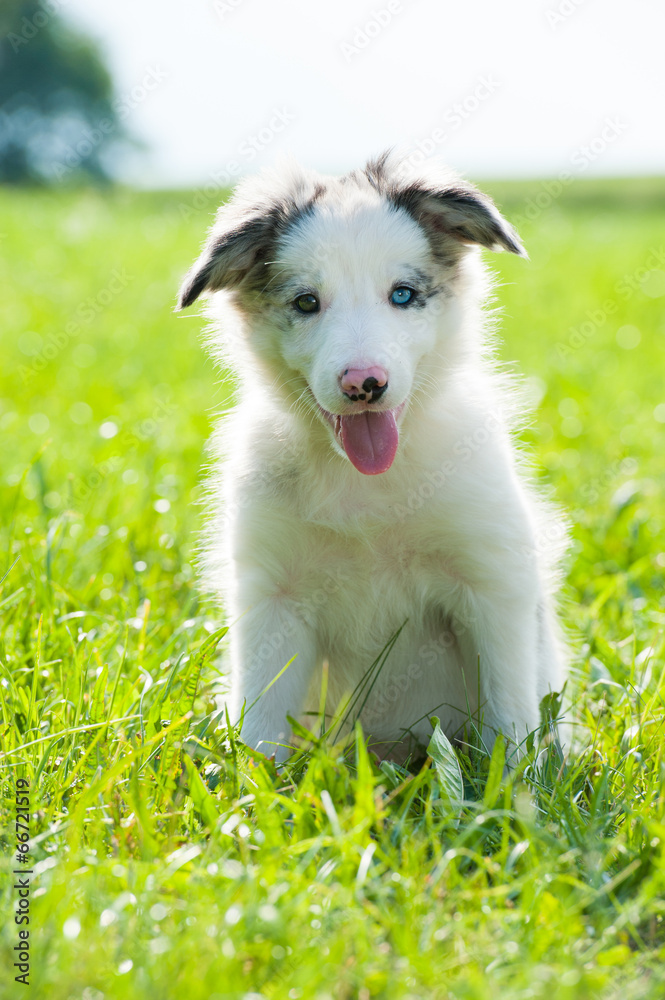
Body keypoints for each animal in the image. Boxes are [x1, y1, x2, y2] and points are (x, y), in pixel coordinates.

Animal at [179, 150, 568, 756]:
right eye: (306, 302)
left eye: (402, 294)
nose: (364, 383)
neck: (364, 483)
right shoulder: (272, 599)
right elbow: (261, 727)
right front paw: (249, 782)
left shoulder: (492, 583)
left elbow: (510, 719)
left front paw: (515, 783)